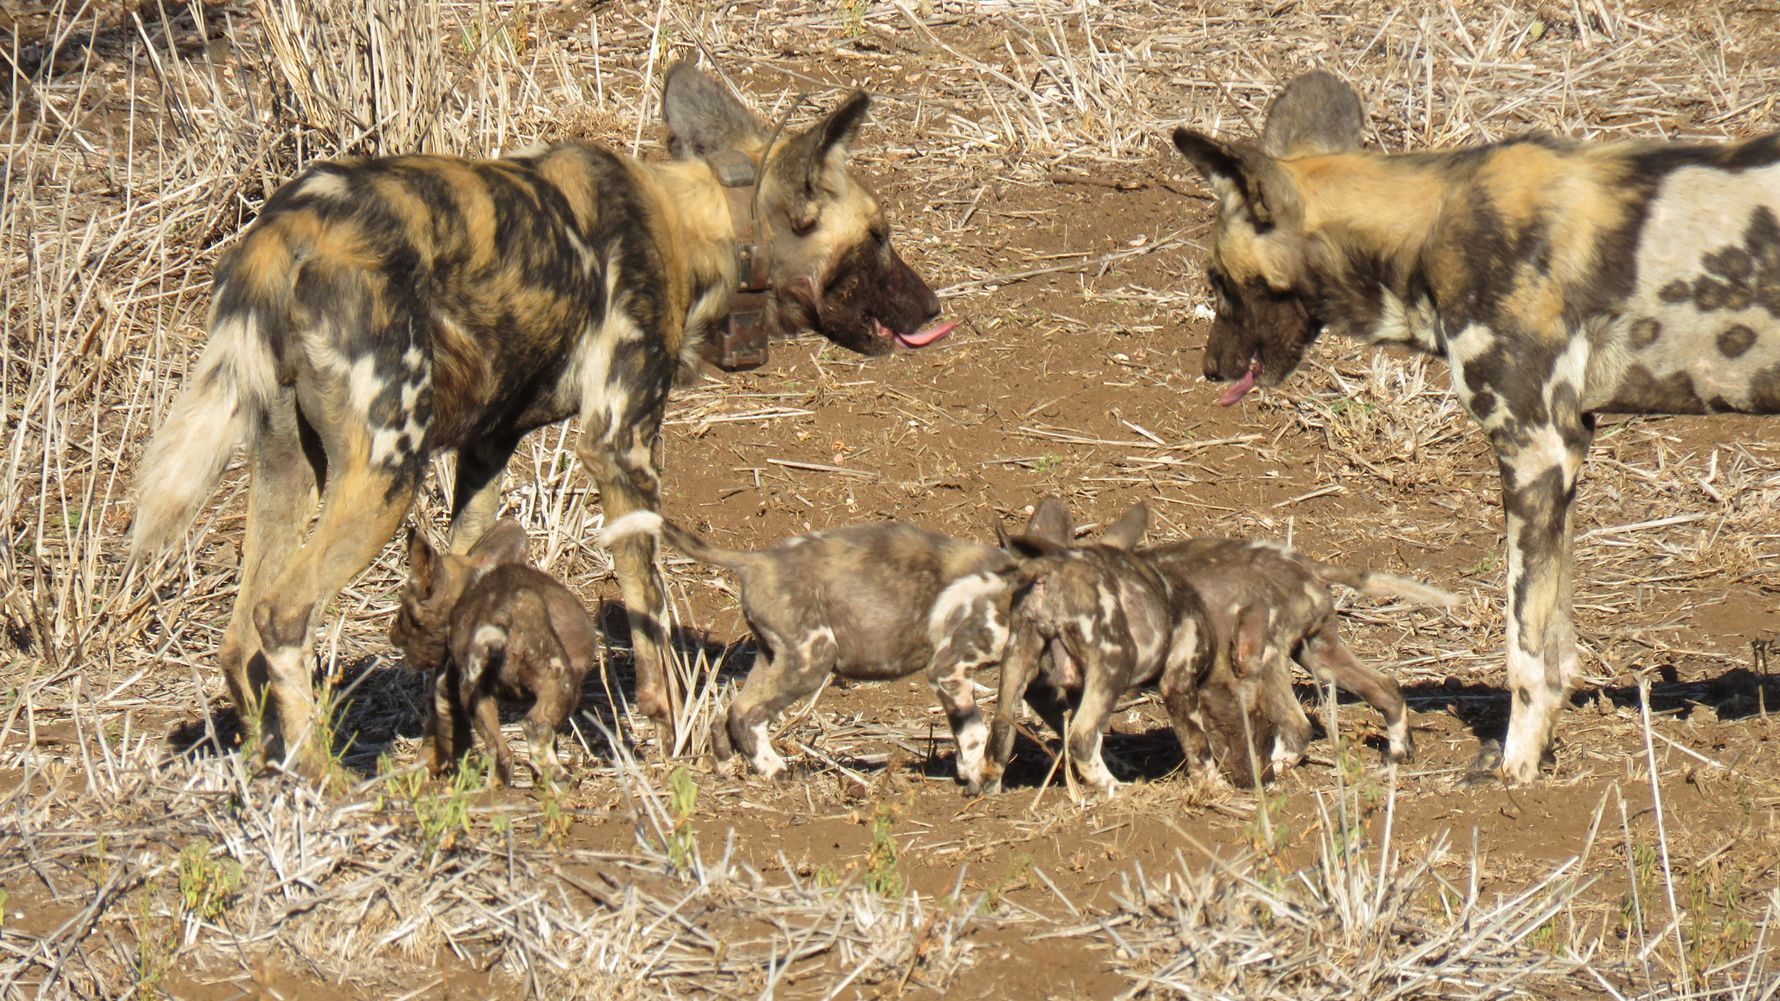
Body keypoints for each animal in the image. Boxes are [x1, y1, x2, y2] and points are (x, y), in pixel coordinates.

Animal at [389, 516, 598, 783]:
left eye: (405, 613)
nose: (393, 635)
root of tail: (504, 613)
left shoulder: (447, 686)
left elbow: (436, 742)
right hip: (559, 685)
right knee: (523, 737)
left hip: (482, 692)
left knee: (504, 750)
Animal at [598, 498, 1068, 787]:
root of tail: (756, 559)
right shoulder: (948, 670)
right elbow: (973, 732)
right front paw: (975, 779)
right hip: (812, 662)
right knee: (745, 714)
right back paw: (776, 772)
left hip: (777, 658)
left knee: (726, 712)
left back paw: (729, 765)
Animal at [1146, 537, 1452, 773]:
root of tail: (1305, 564)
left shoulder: (1176, 680)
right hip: (1317, 654)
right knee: (1386, 688)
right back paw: (1398, 754)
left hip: (1269, 658)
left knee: (1299, 726)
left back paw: (1272, 770)